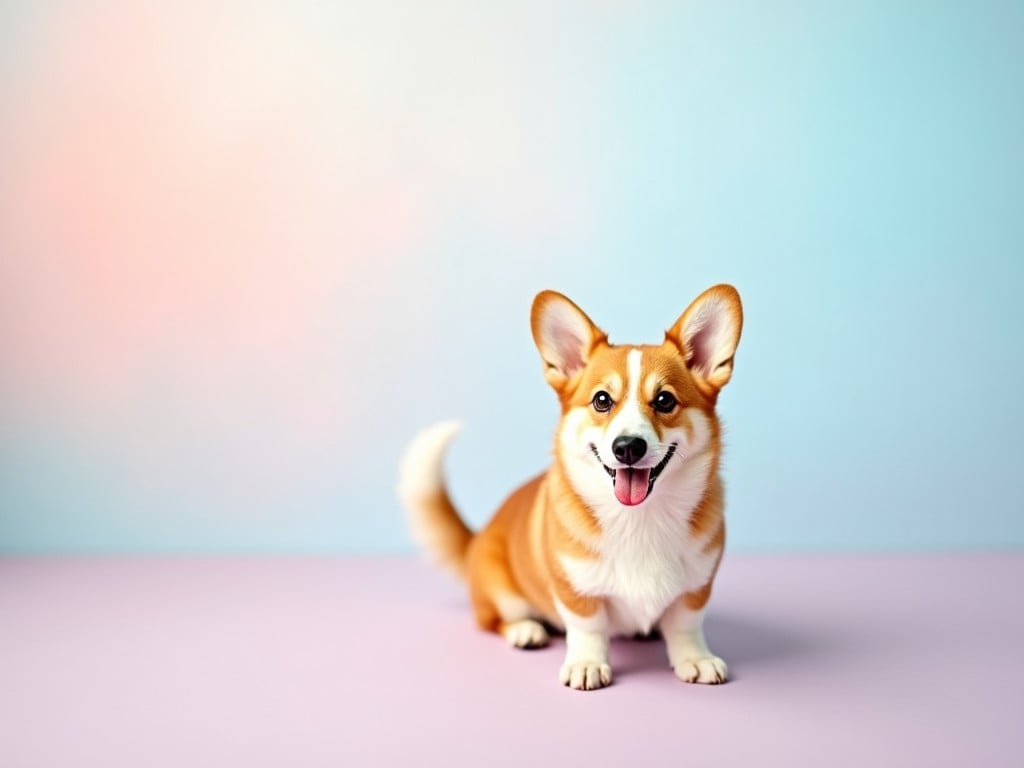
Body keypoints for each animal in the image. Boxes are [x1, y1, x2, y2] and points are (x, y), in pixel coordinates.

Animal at [399, 286, 745, 692]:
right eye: (601, 400)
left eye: (664, 400)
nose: (628, 447)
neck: (638, 519)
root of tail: (475, 540)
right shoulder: (575, 588)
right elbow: (588, 627)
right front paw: (586, 664)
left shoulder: (697, 586)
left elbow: (685, 625)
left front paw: (695, 658)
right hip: (502, 593)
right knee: (494, 620)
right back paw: (525, 630)